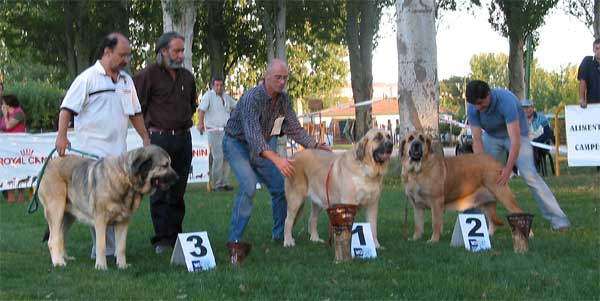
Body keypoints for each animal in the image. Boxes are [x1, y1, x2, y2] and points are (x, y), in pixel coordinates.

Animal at [37, 144, 177, 268]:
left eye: (170, 164)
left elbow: (121, 247)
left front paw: (122, 266)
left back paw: (64, 258)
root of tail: (47, 166)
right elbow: (101, 246)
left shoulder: (123, 222)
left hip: (68, 216)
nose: (178, 178)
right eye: (165, 165)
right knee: (52, 240)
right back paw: (58, 262)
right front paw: (101, 266)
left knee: (60, 236)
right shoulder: (100, 221)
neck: (126, 179)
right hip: (56, 210)